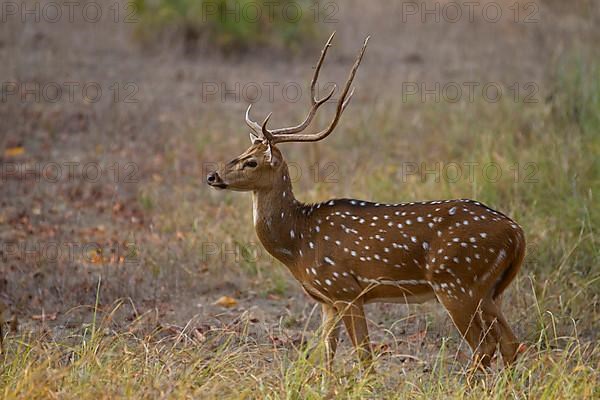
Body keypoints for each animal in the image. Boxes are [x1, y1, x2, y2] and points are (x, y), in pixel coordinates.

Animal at [206, 32, 524, 370]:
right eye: (241, 152)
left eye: (251, 162)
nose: (212, 176)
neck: (298, 244)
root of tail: (517, 233)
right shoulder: (327, 301)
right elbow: (326, 356)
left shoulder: (345, 289)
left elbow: (364, 356)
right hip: (488, 290)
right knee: (510, 342)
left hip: (456, 281)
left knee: (484, 346)